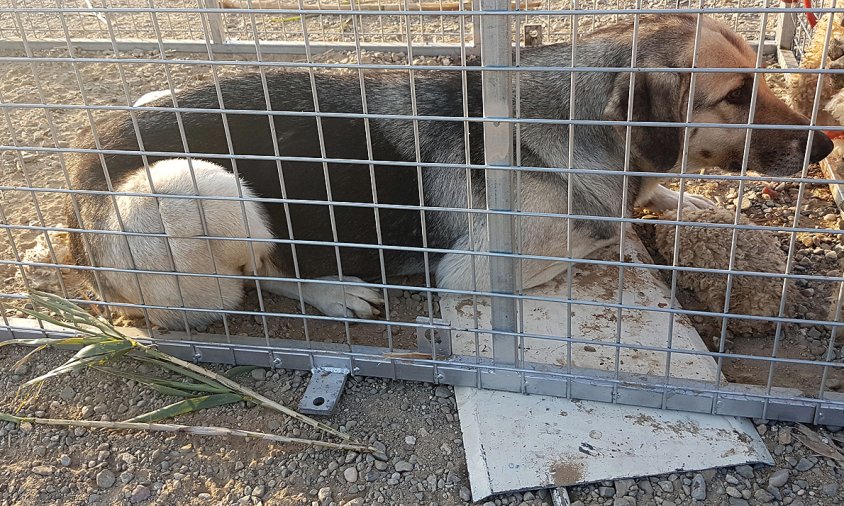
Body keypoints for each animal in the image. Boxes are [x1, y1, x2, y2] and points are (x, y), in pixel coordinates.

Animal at [64, 13, 832, 328]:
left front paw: (688, 208)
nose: (826, 148)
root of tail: (75, 191)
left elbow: (654, 193)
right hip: (195, 185)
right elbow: (604, 227)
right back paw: (334, 291)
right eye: (734, 95)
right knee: (258, 274)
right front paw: (621, 227)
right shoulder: (477, 267)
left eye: (760, 77)